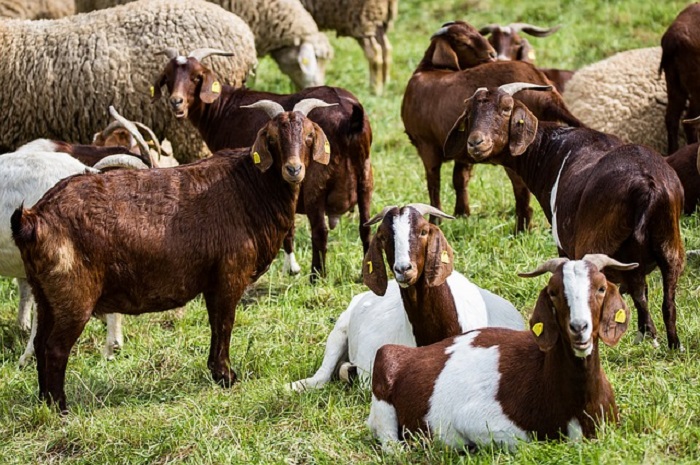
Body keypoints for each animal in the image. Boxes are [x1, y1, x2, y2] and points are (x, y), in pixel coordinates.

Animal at [11, 98, 335, 412]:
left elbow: (216, 324)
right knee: (55, 348)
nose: (293, 170)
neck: (249, 187)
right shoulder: (230, 275)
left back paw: (44, 401)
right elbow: (224, 323)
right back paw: (61, 407)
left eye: (308, 136)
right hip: (73, 296)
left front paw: (217, 372)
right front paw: (227, 376)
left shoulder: (213, 280)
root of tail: (35, 218)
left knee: (40, 344)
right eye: (272, 138)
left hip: (46, 294)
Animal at [152, 47, 373, 280]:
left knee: (320, 230)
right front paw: (291, 267)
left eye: (196, 77)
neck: (224, 109)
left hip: (316, 180)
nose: (176, 102)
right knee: (365, 226)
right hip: (365, 177)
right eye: (168, 77)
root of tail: (350, 119)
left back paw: (316, 276)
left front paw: (291, 267)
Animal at [368, 255, 635, 451]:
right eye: (553, 292)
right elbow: (522, 444)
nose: (579, 327)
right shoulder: (475, 421)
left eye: (601, 288)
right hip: (383, 390)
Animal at [402, 21, 582, 233]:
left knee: (521, 187)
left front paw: (435, 221)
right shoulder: (464, 150)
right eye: (462, 41)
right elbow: (459, 179)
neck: (427, 71)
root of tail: (547, 95)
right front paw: (462, 214)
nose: (492, 54)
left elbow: (433, 183)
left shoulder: (426, 146)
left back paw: (521, 229)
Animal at [444, 83, 685, 349]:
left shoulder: (564, 246)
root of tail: (646, 185)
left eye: (506, 109)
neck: (549, 151)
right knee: (664, 300)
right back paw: (668, 343)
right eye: (469, 114)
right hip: (670, 245)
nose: (476, 143)